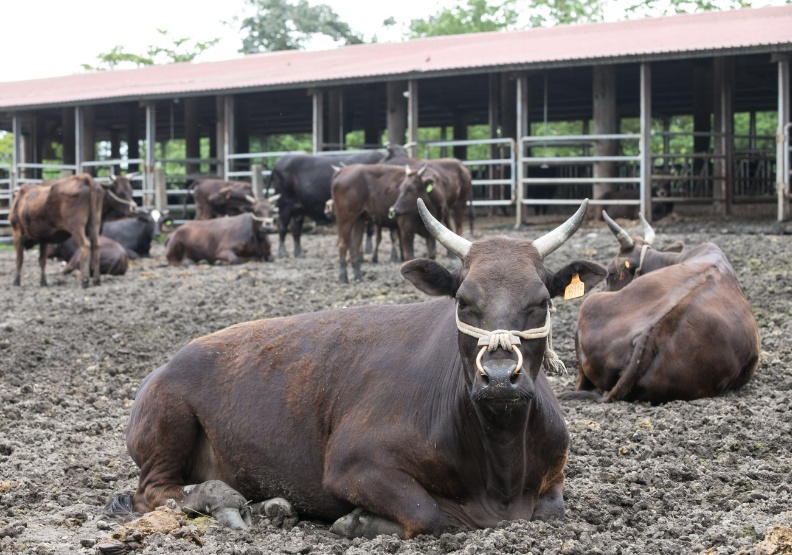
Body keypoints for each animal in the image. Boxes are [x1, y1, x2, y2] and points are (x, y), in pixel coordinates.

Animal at [105, 199, 608, 540]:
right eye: (464, 300)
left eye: (540, 301)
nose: (501, 377)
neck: (499, 466)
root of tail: (165, 366)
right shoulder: (354, 462)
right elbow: (429, 514)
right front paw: (359, 520)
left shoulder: (553, 478)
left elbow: (552, 509)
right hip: (166, 425)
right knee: (154, 491)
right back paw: (224, 500)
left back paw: (271, 504)